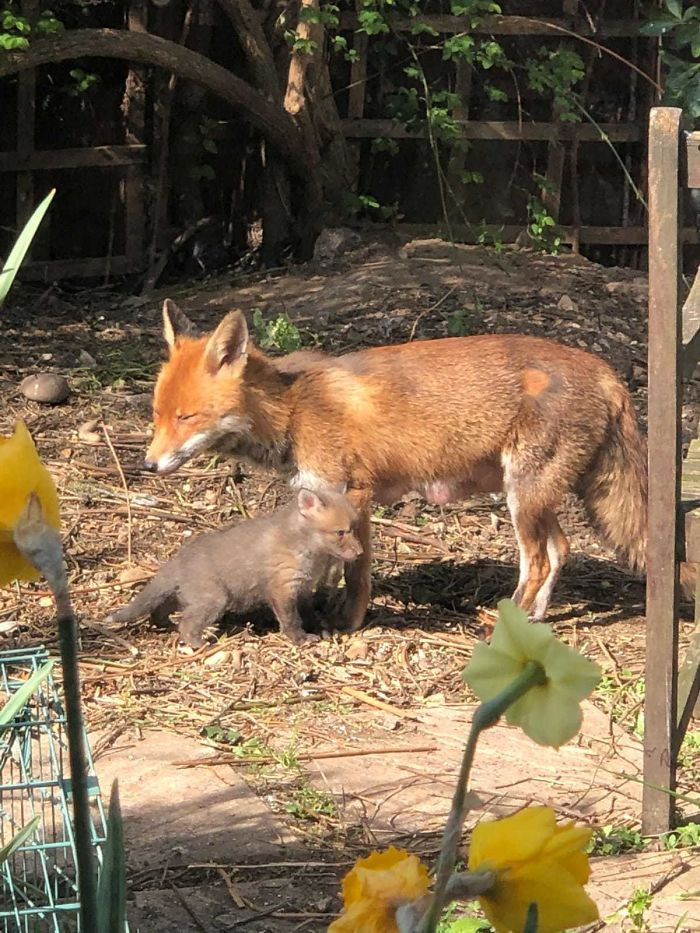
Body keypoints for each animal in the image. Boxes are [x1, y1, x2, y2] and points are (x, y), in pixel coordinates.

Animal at [145, 302, 648, 628]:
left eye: (186, 417)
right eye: (157, 414)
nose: (148, 465)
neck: (294, 410)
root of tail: (606, 370)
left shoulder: (356, 493)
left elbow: (357, 570)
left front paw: (350, 621)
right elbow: (330, 566)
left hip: (523, 497)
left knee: (539, 562)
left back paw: (503, 625)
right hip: (532, 497)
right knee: (561, 549)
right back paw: (536, 618)